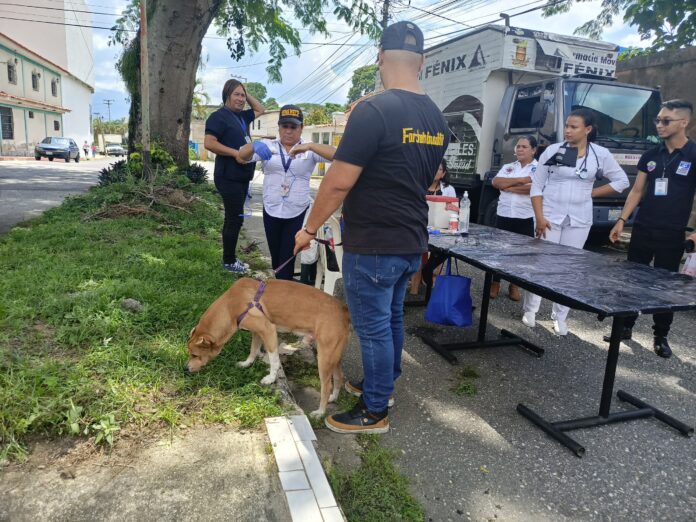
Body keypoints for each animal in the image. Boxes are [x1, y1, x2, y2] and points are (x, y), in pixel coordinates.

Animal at [186, 276, 350, 414]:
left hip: (324, 358)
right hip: (334, 357)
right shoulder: (257, 332)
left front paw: (271, 378)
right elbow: (253, 350)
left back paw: (320, 412)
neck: (230, 305)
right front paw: (247, 363)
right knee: (339, 377)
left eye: (194, 354)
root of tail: (343, 308)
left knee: (327, 386)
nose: (185, 369)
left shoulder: (269, 331)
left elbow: (274, 359)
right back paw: (333, 398)